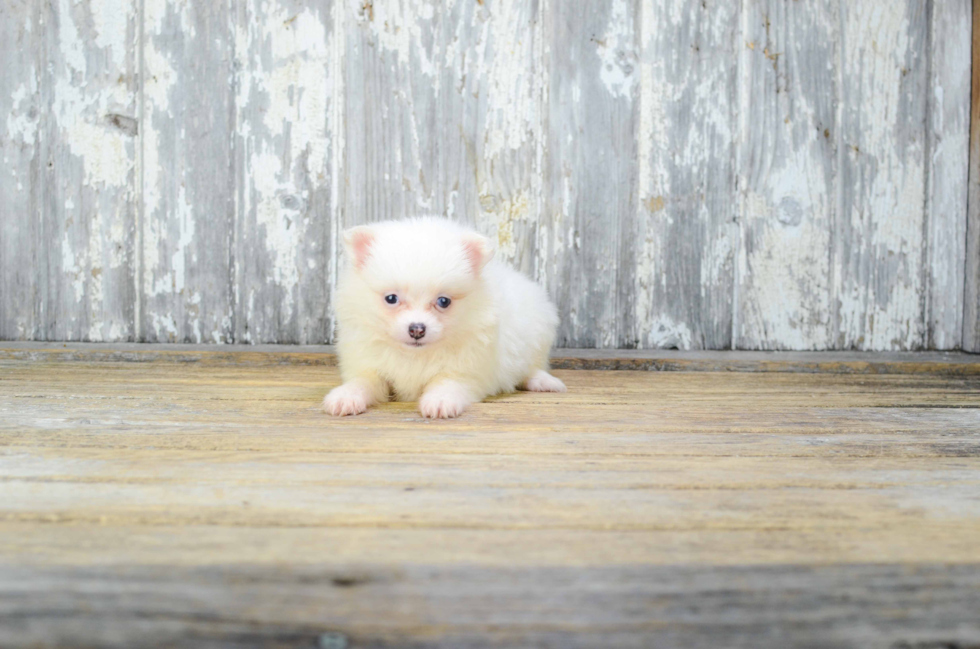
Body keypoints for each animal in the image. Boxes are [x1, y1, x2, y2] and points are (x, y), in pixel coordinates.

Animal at [324, 216, 568, 420]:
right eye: (391, 298)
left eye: (443, 301)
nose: (417, 329)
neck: (415, 355)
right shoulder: (369, 364)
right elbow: (363, 381)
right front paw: (345, 396)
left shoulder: (466, 370)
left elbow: (447, 383)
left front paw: (439, 402)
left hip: (538, 333)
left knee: (532, 367)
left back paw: (543, 381)